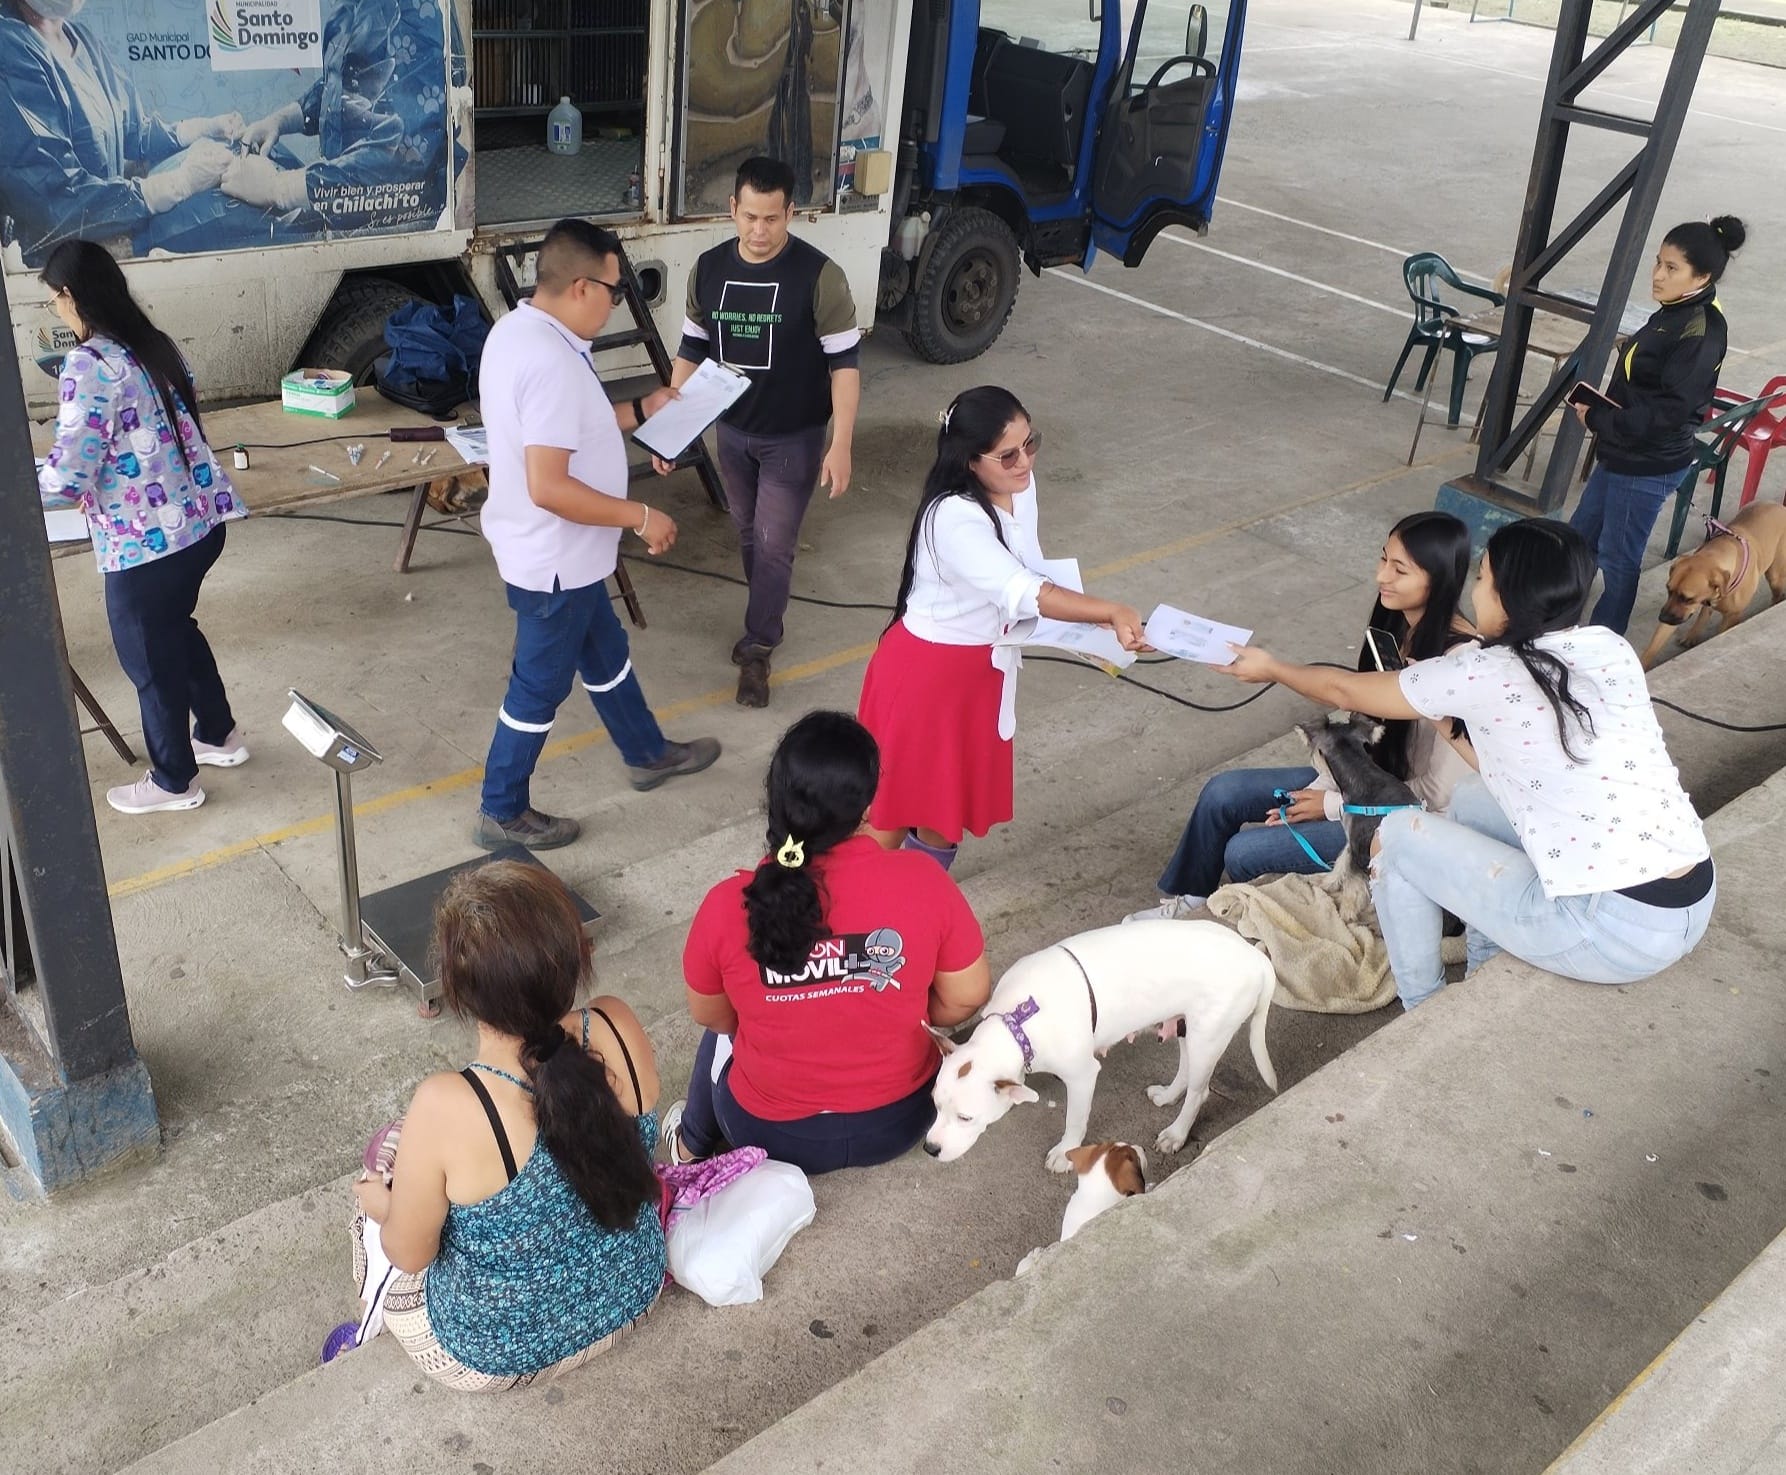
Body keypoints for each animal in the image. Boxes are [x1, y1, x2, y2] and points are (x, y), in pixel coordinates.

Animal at [924, 919, 1278, 1171]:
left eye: (966, 1118)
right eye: (935, 1105)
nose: (930, 1149)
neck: (1016, 1023)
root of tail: (1255, 956)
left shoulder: (1082, 1077)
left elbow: (1075, 1120)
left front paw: (1065, 1154)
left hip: (1209, 1035)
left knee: (1199, 1091)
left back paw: (1176, 1134)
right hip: (1187, 1025)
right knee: (1187, 1067)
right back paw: (1168, 1095)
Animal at [1295, 713, 1422, 908]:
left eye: (1317, 751)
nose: (1313, 763)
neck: (1364, 776)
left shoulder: (1360, 850)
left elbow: (1353, 888)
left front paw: (1345, 910)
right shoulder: (1352, 841)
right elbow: (1341, 862)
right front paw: (1327, 883)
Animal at [1640, 503, 1786, 670]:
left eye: (1688, 599)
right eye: (1668, 590)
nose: (1662, 617)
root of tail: (1779, 506)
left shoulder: (1730, 617)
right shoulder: (1674, 613)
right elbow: (1654, 645)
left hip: (1775, 576)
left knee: (1777, 592)